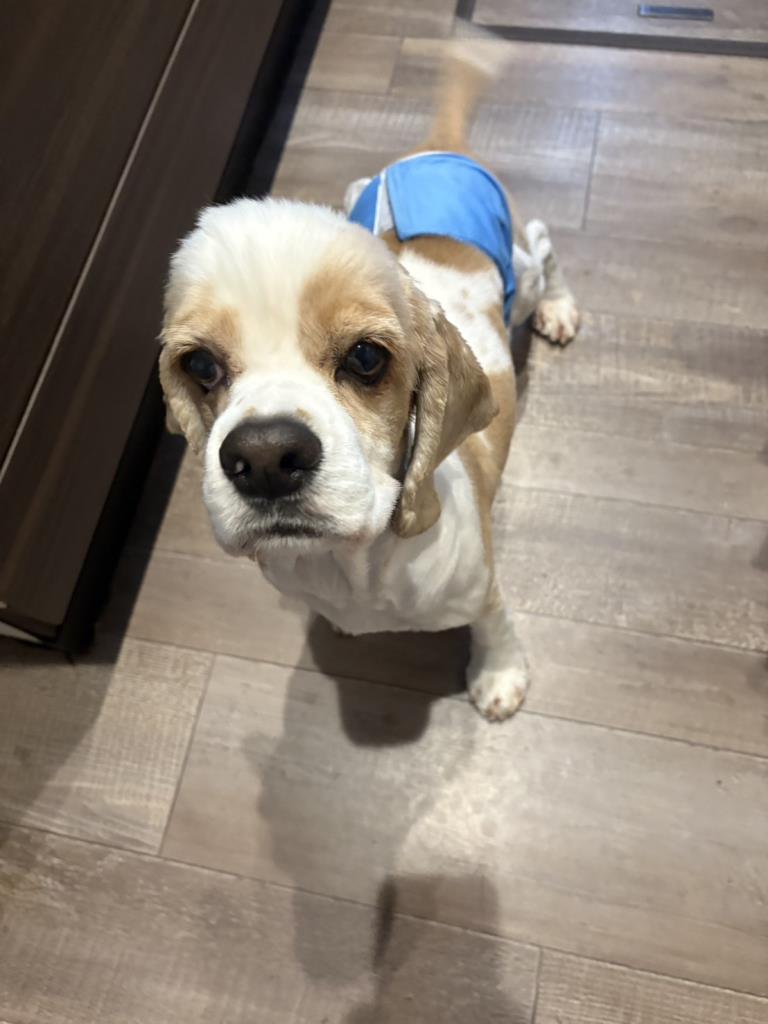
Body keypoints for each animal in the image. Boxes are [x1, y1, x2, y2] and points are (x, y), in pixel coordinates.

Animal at [158, 41, 579, 721]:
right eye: (200, 366)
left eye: (365, 358)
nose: (265, 457)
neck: (355, 563)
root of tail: (438, 150)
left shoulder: (481, 585)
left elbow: (495, 623)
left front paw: (499, 674)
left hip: (523, 268)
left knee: (543, 245)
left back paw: (560, 309)